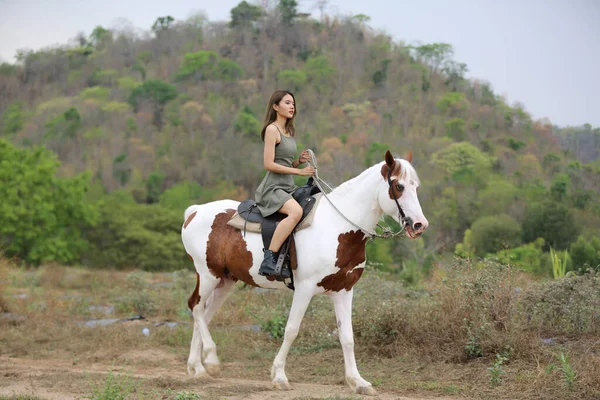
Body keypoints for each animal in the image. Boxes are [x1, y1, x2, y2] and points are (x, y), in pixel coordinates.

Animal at [180, 149, 428, 394]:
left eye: (416, 186)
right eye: (399, 186)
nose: (419, 225)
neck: (337, 227)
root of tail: (195, 211)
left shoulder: (344, 291)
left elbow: (347, 337)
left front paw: (358, 382)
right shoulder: (304, 289)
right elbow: (291, 330)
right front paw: (279, 376)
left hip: (225, 281)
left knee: (204, 314)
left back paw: (197, 368)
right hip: (208, 275)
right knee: (196, 307)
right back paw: (209, 360)